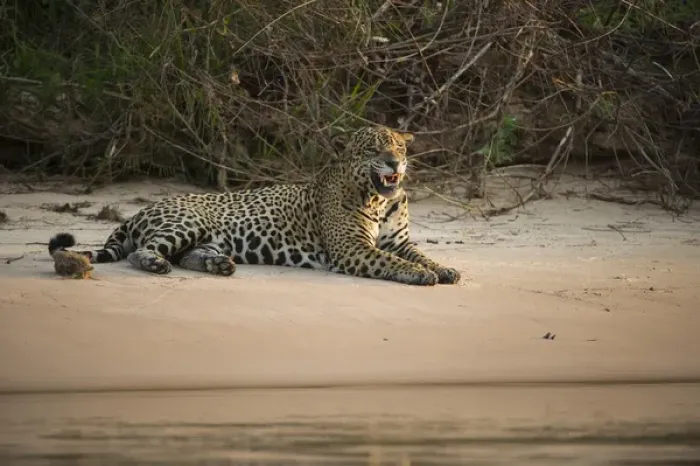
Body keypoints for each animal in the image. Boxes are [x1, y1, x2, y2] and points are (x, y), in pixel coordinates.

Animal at [48, 125, 461, 286]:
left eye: (400, 147)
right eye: (373, 150)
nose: (394, 163)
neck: (378, 200)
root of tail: (138, 211)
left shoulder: (400, 241)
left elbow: (420, 254)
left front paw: (445, 269)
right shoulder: (353, 248)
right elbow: (390, 261)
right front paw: (420, 275)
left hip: (204, 237)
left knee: (188, 256)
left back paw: (219, 265)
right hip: (186, 223)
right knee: (143, 252)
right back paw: (156, 264)